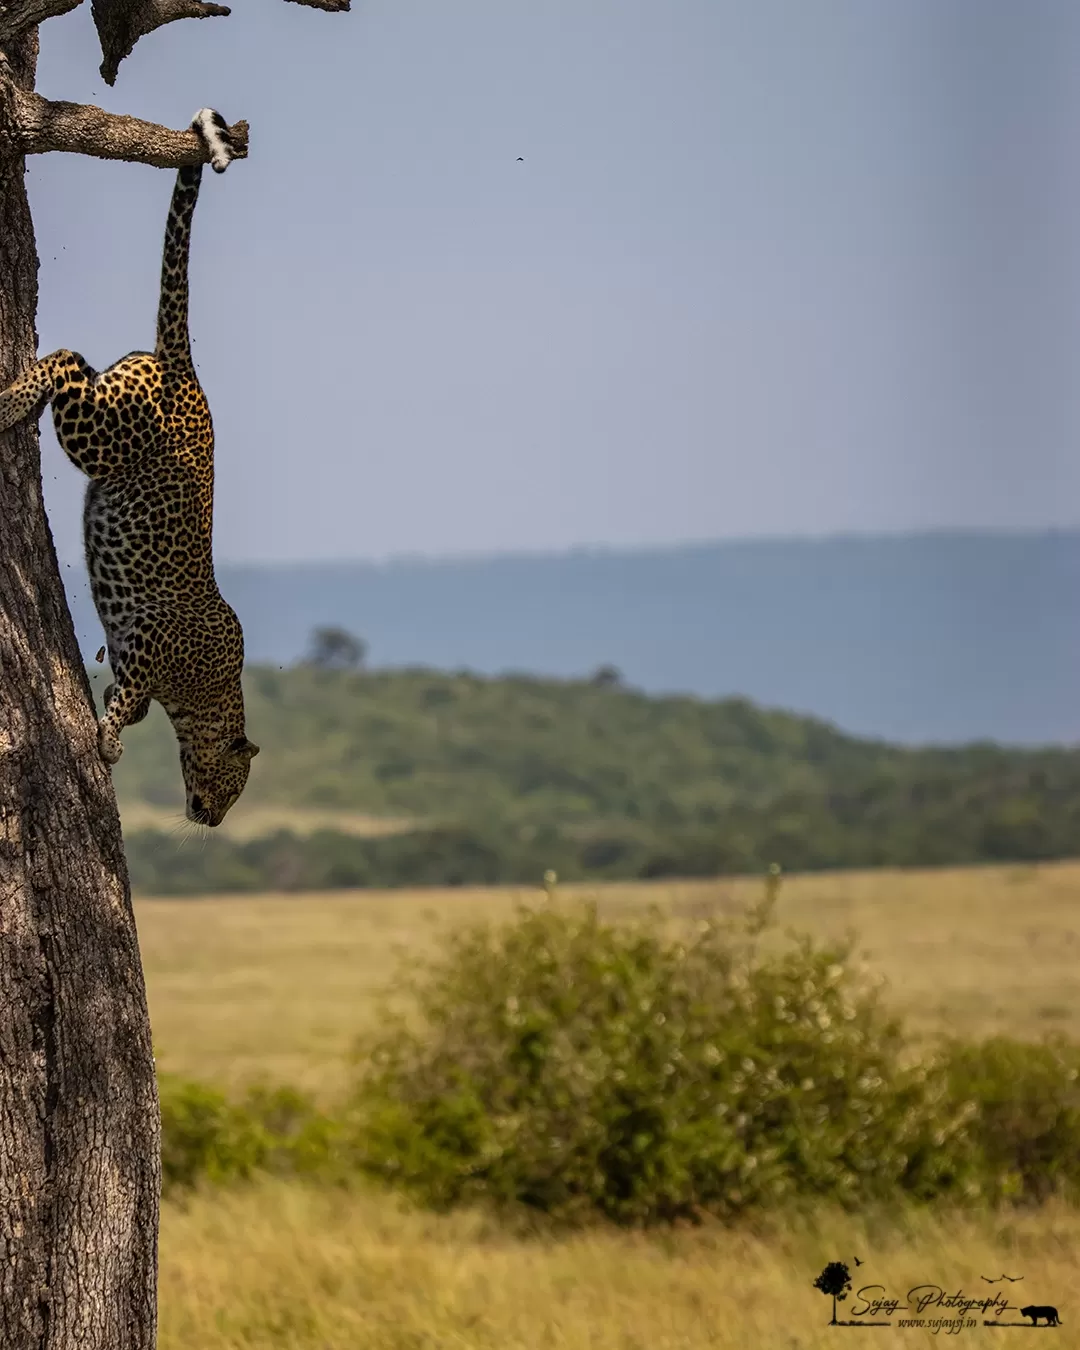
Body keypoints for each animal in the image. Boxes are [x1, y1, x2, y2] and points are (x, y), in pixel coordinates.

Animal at [0, 108, 259, 820]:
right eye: (234, 788)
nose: (211, 818)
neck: (204, 698)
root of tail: (181, 367)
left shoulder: (130, 652)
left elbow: (130, 701)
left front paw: (115, 724)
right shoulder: (147, 647)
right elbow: (129, 703)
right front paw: (107, 741)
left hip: (106, 408)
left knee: (77, 361)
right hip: (101, 433)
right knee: (63, 356)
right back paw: (11, 399)